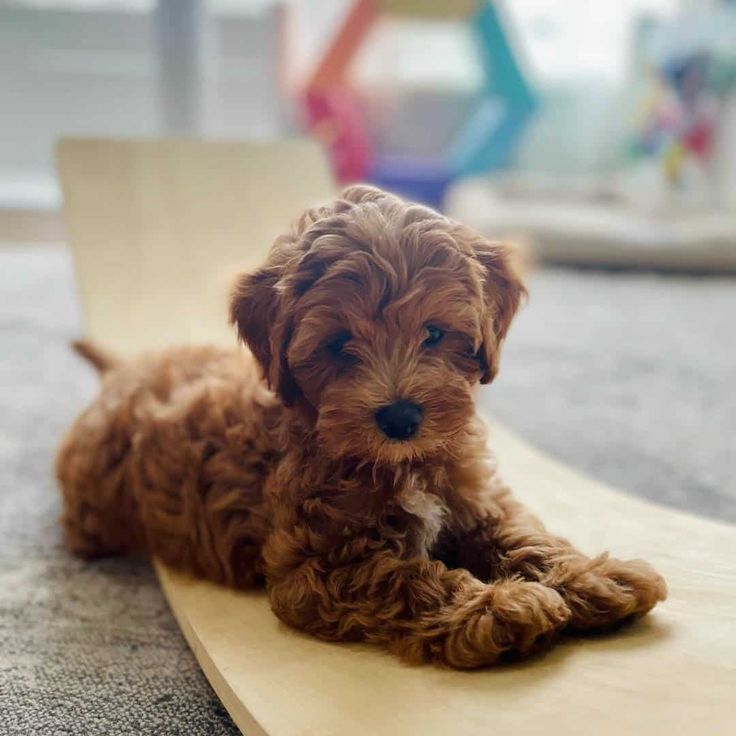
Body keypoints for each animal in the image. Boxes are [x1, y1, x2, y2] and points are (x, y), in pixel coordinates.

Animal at [57, 183, 668, 668]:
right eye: (337, 344)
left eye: (433, 333)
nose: (400, 416)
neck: (400, 465)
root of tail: (121, 372)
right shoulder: (314, 567)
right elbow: (406, 577)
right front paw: (495, 607)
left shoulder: (473, 498)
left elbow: (519, 532)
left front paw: (590, 575)